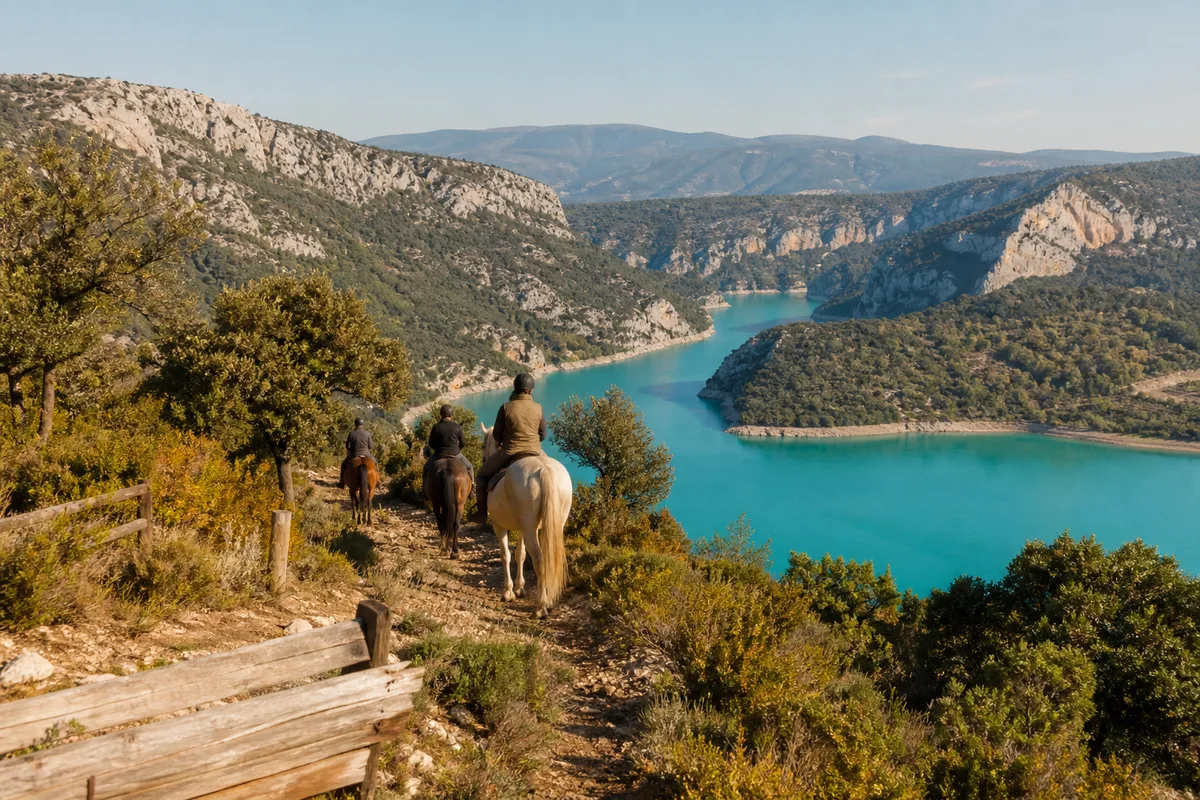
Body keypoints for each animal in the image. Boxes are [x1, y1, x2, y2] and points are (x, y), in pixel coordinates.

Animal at [479, 424, 572, 618]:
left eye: (483, 446)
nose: (484, 459)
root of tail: (544, 471)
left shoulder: (499, 526)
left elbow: (505, 554)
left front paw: (508, 592)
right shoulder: (523, 528)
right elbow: (520, 554)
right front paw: (520, 588)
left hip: (529, 529)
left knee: (539, 559)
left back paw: (541, 606)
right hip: (551, 526)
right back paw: (548, 600)